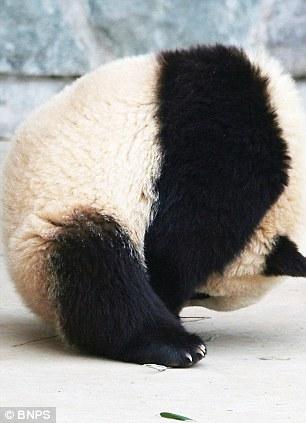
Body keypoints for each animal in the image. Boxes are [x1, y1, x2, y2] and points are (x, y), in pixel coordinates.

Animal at [2, 44, 306, 368]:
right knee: (100, 272)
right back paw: (175, 345)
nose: (181, 305)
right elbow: (180, 241)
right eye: (204, 293)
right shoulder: (220, 150)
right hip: (65, 217)